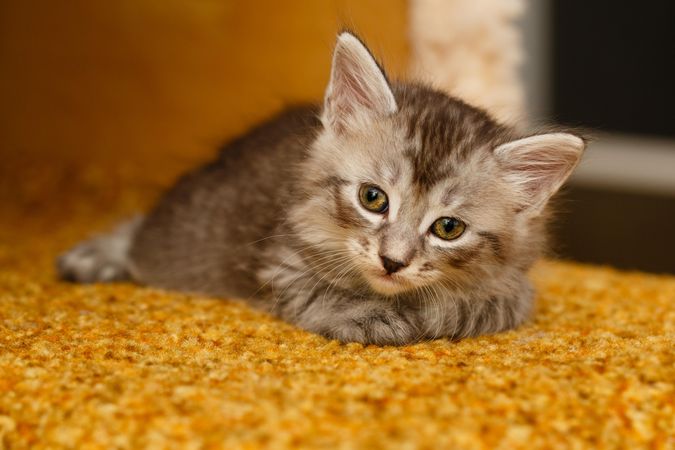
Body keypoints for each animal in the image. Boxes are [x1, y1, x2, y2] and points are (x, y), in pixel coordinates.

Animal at [58, 33, 588, 346]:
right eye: (373, 198)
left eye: (448, 228)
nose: (392, 261)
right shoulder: (279, 263)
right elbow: (318, 293)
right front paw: (373, 315)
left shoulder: (516, 288)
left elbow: (483, 305)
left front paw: (438, 309)